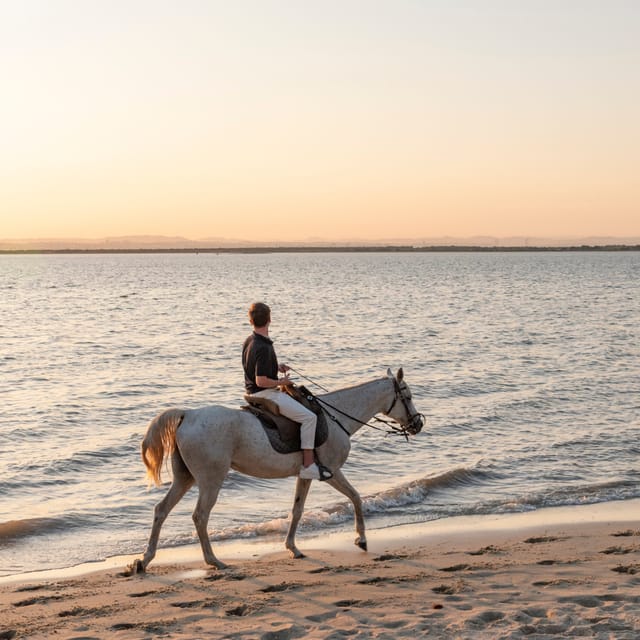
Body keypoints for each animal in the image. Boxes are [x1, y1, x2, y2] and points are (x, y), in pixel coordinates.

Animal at [130, 368, 424, 573]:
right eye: (407, 396)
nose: (418, 424)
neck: (336, 417)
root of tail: (188, 415)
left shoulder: (306, 475)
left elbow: (297, 510)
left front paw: (293, 548)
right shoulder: (332, 471)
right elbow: (355, 497)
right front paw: (361, 539)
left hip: (185, 478)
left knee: (161, 510)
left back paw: (144, 560)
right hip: (211, 480)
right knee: (200, 516)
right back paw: (214, 560)